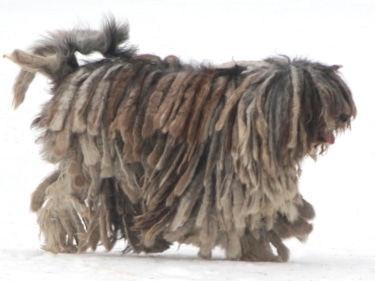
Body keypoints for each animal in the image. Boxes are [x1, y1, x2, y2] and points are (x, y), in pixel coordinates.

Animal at [6, 17, 358, 260]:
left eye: (338, 96)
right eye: (321, 99)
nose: (344, 116)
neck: (256, 111)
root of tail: (73, 71)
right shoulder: (223, 182)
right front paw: (255, 251)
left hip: (119, 168)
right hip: (92, 160)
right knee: (60, 200)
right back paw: (60, 240)